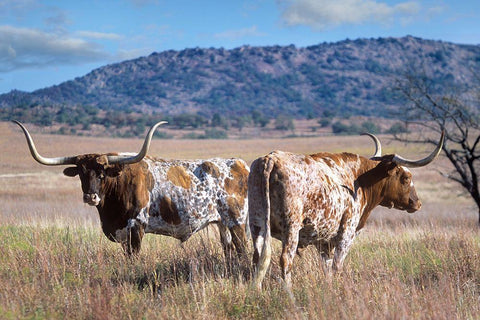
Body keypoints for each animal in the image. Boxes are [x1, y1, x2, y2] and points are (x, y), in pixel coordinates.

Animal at [13, 120, 249, 260]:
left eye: (102, 173)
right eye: (81, 173)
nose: (90, 196)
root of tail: (240, 164)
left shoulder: (136, 227)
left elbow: (133, 259)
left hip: (237, 222)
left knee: (243, 250)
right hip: (222, 224)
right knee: (230, 251)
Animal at [249, 131, 444, 288]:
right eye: (406, 177)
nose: (417, 203)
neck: (359, 178)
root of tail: (271, 159)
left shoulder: (324, 242)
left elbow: (327, 268)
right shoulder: (347, 233)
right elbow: (337, 266)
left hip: (257, 225)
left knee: (258, 258)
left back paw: (256, 291)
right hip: (291, 229)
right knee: (285, 260)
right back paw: (289, 294)